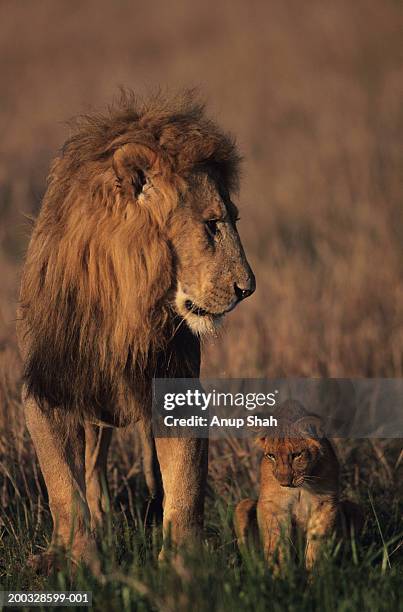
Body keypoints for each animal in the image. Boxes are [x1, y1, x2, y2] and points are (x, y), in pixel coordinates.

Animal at [18, 91, 256, 568]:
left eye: (231, 220)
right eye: (212, 224)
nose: (248, 288)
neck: (128, 308)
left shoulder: (177, 385)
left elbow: (185, 488)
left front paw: (184, 566)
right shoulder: (48, 386)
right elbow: (62, 486)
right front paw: (78, 560)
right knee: (91, 464)